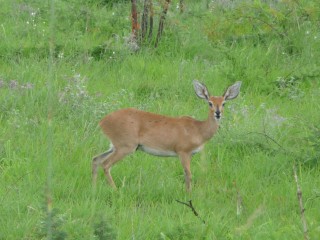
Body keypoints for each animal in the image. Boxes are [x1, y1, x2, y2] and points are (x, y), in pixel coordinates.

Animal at [94, 80, 241, 191]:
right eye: (210, 102)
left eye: (224, 103)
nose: (218, 113)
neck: (198, 129)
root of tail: (102, 121)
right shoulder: (183, 152)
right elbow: (188, 174)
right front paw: (189, 194)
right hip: (126, 147)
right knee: (105, 164)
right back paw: (115, 189)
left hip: (115, 146)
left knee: (96, 159)